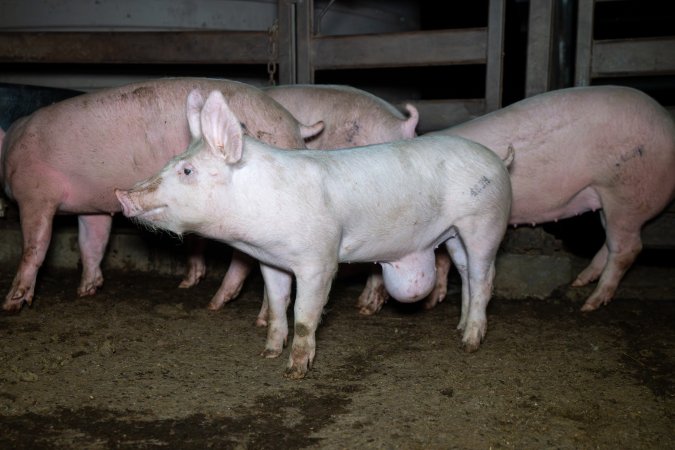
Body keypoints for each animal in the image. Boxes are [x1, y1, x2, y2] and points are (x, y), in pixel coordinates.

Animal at [0, 77, 324, 312]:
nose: (122, 195)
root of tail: (295, 125)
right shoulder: (91, 205)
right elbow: (92, 243)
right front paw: (86, 290)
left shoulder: (35, 192)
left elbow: (35, 246)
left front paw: (11, 304)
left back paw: (225, 308)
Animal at [356, 86, 672, 314]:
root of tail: (667, 121)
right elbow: (443, 258)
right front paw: (433, 301)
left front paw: (369, 307)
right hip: (606, 199)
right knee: (611, 242)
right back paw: (581, 281)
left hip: (627, 191)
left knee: (628, 248)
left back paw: (589, 305)